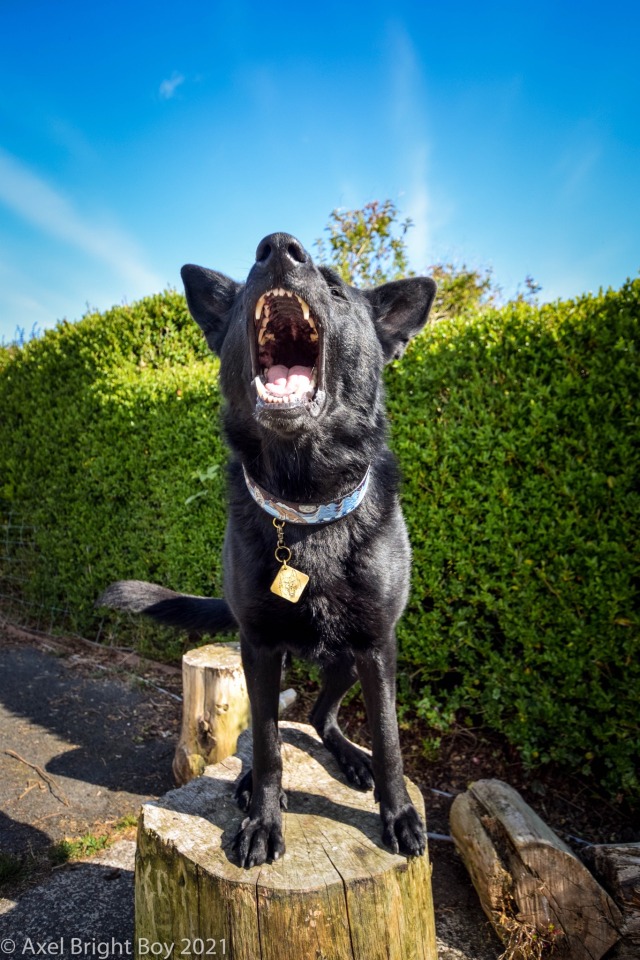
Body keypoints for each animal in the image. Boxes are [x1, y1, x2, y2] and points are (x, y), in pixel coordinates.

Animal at [100, 234, 438, 872]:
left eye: (335, 288)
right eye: (243, 293)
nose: (278, 247)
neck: (304, 508)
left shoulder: (377, 645)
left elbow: (389, 739)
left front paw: (399, 813)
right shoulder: (257, 645)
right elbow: (267, 743)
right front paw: (261, 820)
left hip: (344, 659)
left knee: (320, 715)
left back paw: (351, 758)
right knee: (277, 728)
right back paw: (252, 784)